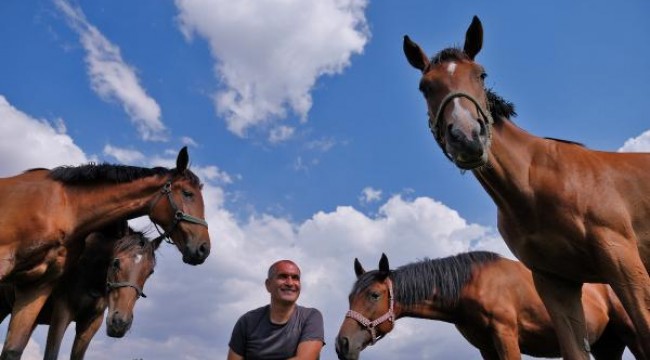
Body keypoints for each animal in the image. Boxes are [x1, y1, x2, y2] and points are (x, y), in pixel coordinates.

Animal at [336, 253, 640, 360]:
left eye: (374, 295)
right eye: (350, 298)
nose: (342, 344)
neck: (475, 284)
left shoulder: (506, 337)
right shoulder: (486, 347)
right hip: (607, 346)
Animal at [400, 15, 648, 358]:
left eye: (480, 74)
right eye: (425, 87)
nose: (466, 137)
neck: (535, 182)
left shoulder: (623, 261)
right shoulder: (555, 282)